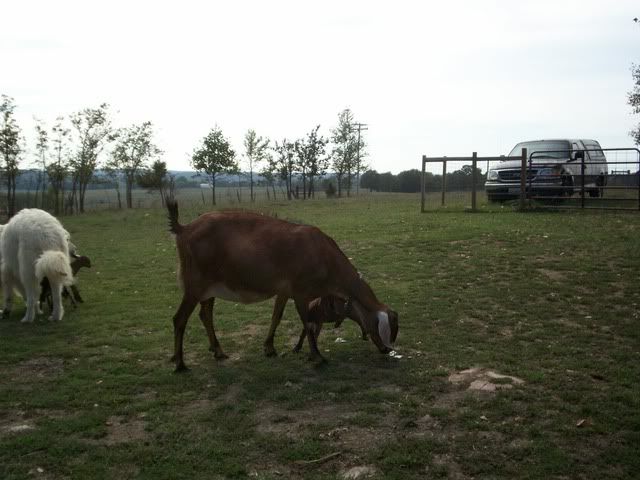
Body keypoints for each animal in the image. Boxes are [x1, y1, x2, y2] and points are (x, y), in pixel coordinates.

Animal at [166, 199, 398, 372]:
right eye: (377, 324)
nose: (387, 350)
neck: (323, 256)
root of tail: (183, 229)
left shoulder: (284, 291)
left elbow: (276, 317)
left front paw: (269, 348)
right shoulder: (301, 292)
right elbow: (307, 324)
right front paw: (317, 356)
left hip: (209, 289)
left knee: (205, 314)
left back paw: (218, 351)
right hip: (194, 285)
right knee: (179, 319)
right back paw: (180, 363)